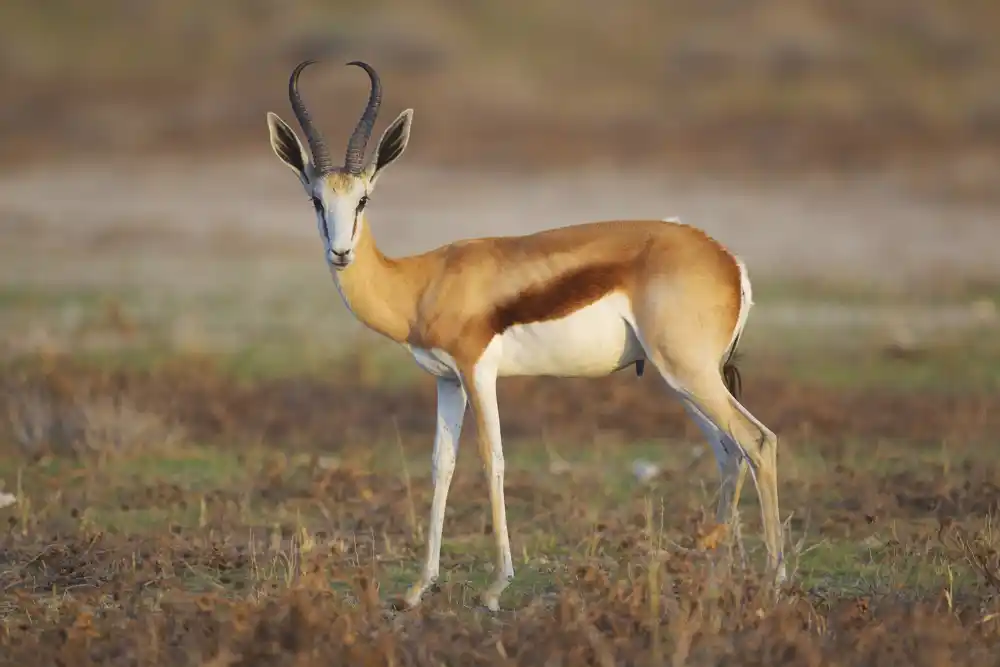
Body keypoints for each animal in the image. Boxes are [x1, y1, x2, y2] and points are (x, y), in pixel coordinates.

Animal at [270, 60, 784, 612]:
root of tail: (727, 260)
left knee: (758, 441)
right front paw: (417, 588)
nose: (341, 253)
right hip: (681, 381)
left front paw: (496, 587)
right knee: (728, 453)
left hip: (689, 374)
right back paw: (715, 577)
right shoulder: (447, 381)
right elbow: (441, 465)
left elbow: (491, 459)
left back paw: (774, 582)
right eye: (316, 200)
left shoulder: (478, 371)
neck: (421, 281)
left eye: (363, 198)